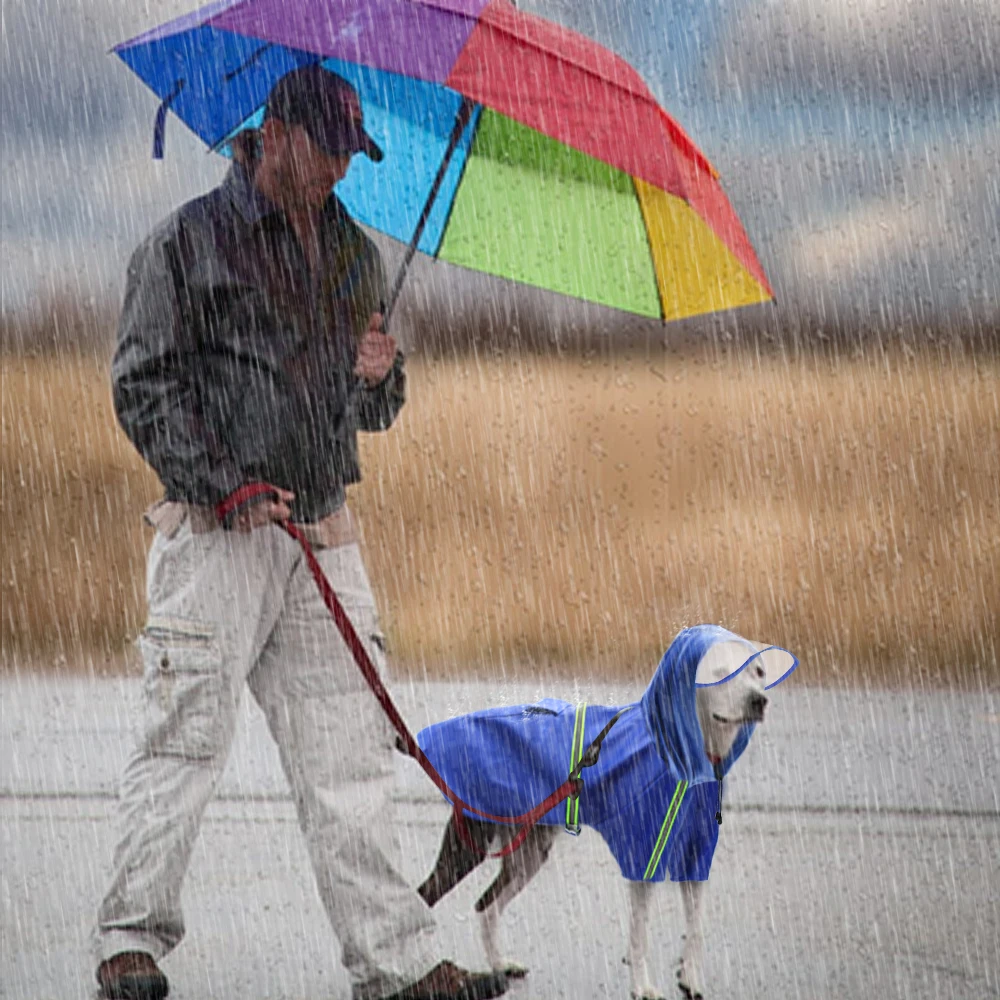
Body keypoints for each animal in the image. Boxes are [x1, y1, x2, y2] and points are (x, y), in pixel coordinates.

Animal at [406, 624, 796, 1000]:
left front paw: (691, 979)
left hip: (529, 855)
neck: (689, 756)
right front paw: (642, 988)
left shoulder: (695, 856)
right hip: (468, 847)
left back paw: (501, 965)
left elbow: (696, 929)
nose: (759, 700)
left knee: (485, 905)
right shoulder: (644, 858)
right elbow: (639, 935)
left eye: (759, 672)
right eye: (719, 672)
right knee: (423, 898)